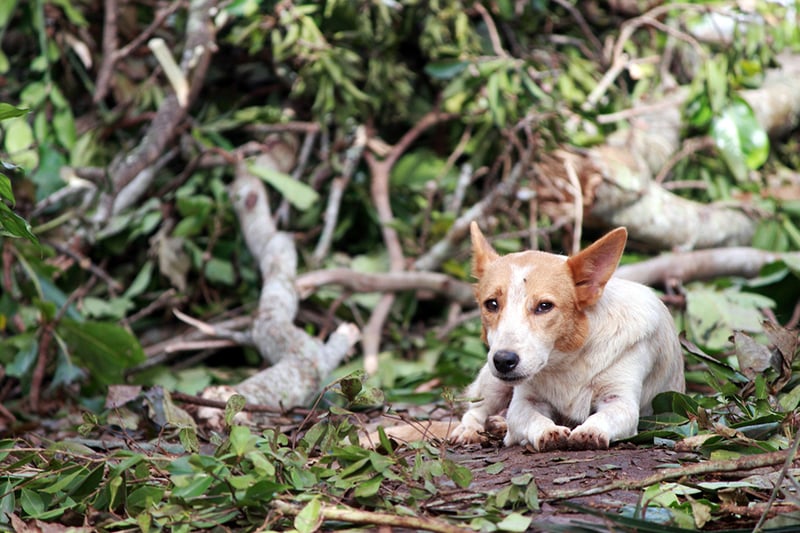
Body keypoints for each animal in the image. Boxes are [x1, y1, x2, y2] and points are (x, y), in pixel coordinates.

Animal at [454, 222, 684, 450]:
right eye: (491, 304)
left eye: (544, 306)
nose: (503, 360)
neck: (567, 363)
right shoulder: (524, 402)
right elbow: (532, 417)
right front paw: (548, 431)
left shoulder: (620, 399)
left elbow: (604, 416)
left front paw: (590, 431)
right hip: (494, 383)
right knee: (475, 410)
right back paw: (471, 430)